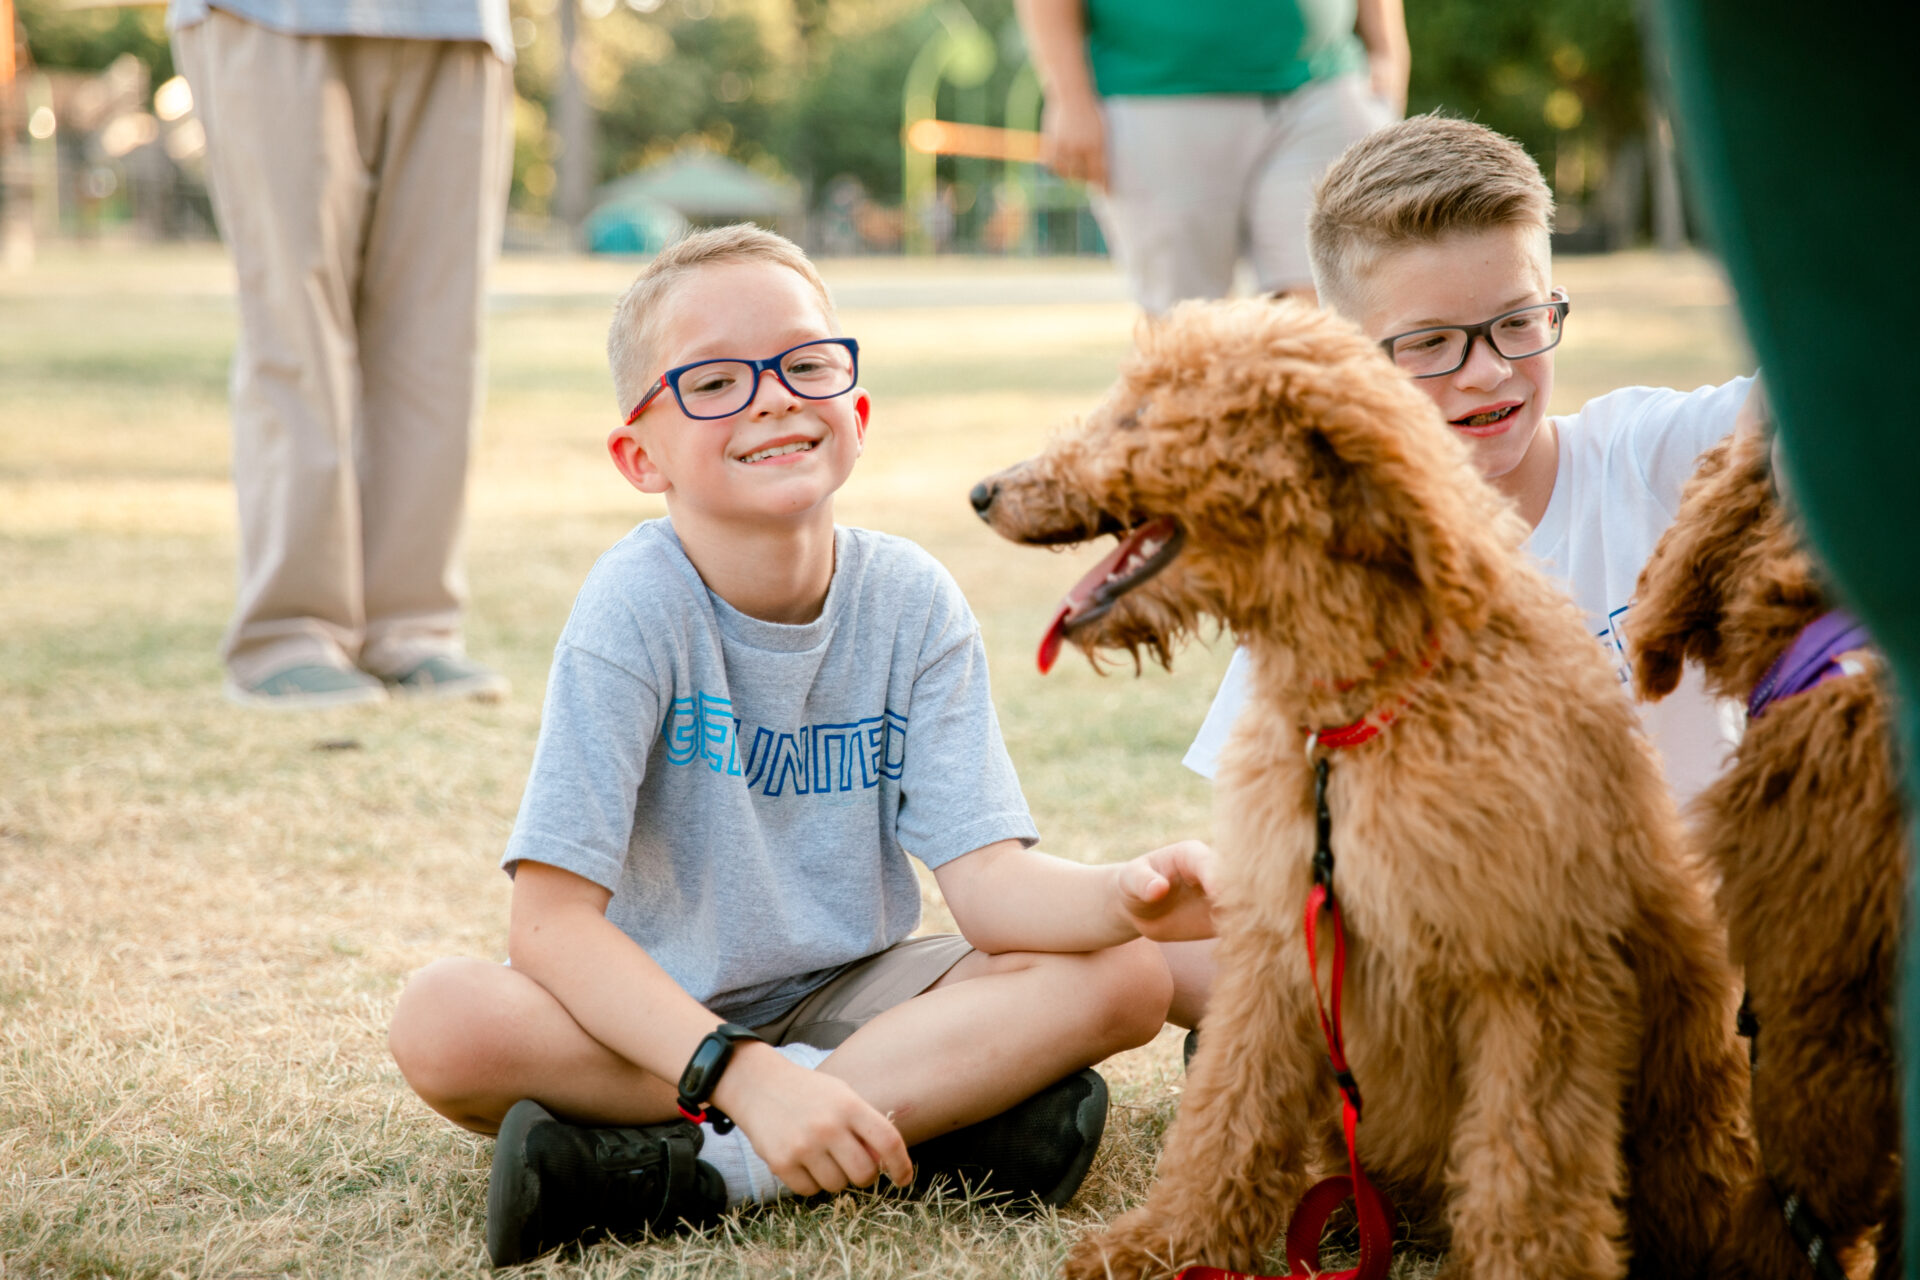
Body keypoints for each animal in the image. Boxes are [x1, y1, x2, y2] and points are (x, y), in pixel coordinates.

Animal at [975, 297, 1758, 1280]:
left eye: (1139, 418)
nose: (982, 492)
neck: (1357, 717)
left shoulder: (1535, 974)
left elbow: (1524, 1167)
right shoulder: (1280, 953)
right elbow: (1227, 1113)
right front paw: (1166, 1243)